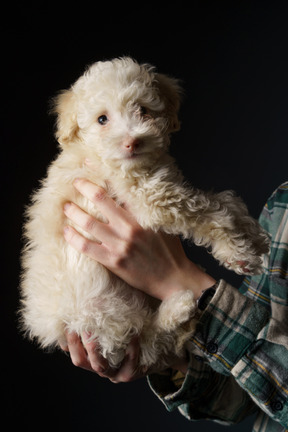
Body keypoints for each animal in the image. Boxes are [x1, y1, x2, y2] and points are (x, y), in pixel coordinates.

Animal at [20, 56, 270, 368]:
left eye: (143, 110)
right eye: (102, 119)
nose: (132, 141)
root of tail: (58, 330)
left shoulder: (167, 185)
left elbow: (222, 201)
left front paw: (254, 236)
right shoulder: (153, 199)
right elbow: (210, 215)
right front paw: (238, 252)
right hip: (102, 314)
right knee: (147, 340)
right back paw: (178, 308)